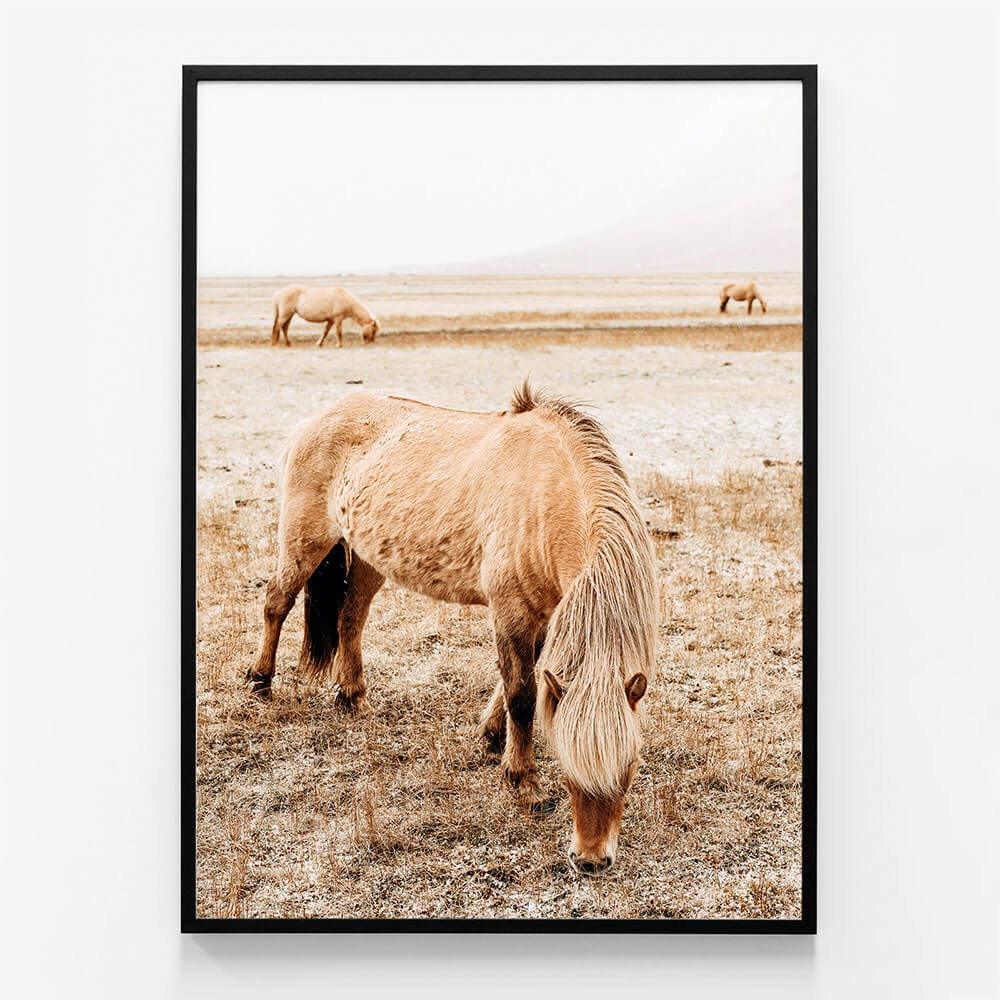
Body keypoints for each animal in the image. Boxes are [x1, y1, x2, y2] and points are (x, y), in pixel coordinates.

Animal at [247, 382, 659, 875]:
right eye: (565, 760)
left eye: (631, 764)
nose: (592, 859)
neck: (546, 493)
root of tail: (317, 419)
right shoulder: (511, 611)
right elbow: (522, 694)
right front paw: (524, 783)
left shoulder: (542, 613)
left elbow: (520, 681)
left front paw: (492, 736)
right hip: (304, 539)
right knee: (277, 602)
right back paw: (261, 681)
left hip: (366, 557)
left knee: (350, 619)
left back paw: (352, 697)